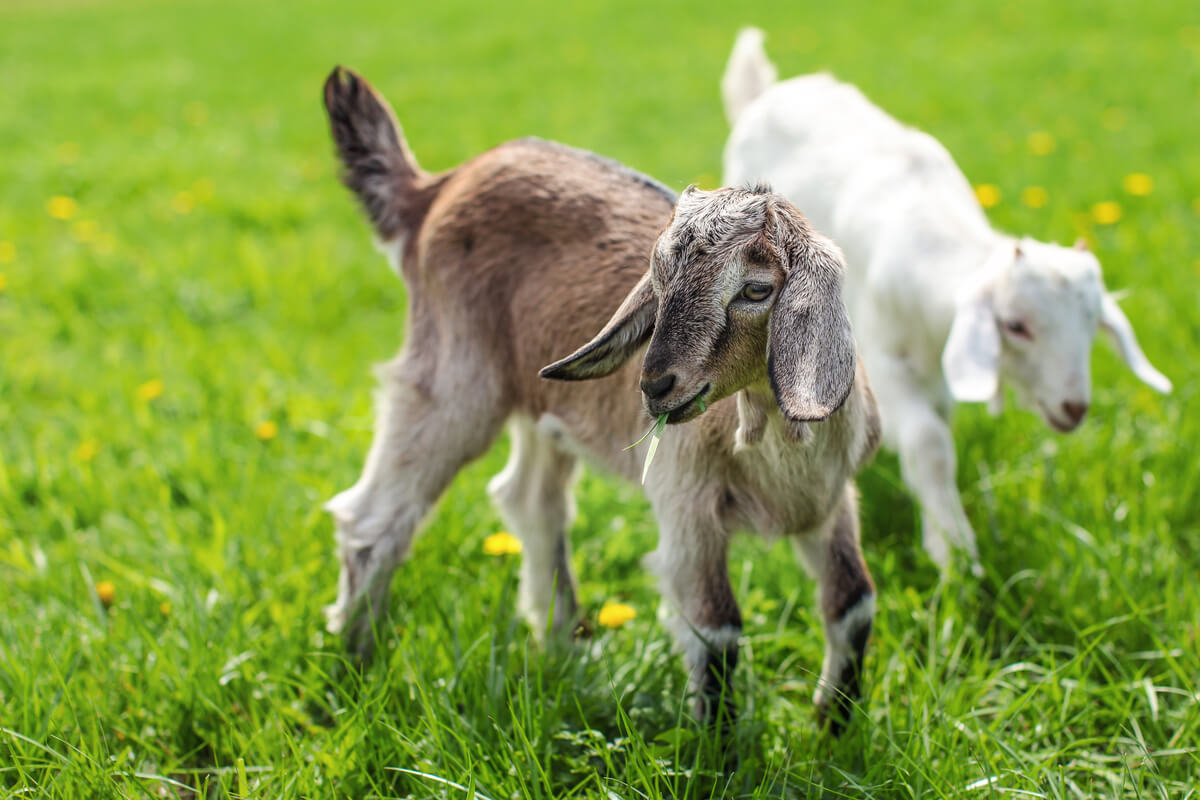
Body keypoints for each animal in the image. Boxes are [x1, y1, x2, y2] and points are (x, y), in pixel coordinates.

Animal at [321, 67, 881, 729]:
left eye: (756, 289)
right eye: (657, 281)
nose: (655, 385)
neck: (775, 452)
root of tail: (437, 187)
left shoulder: (832, 500)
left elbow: (854, 602)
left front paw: (832, 725)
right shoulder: (685, 505)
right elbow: (716, 630)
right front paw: (717, 743)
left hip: (540, 404)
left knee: (530, 500)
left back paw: (561, 646)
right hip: (453, 378)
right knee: (371, 519)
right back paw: (354, 667)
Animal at [721, 29, 1171, 569]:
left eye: (1091, 326)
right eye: (1015, 326)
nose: (1074, 408)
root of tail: (766, 91)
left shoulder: (940, 369)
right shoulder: (880, 356)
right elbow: (928, 441)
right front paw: (953, 551)